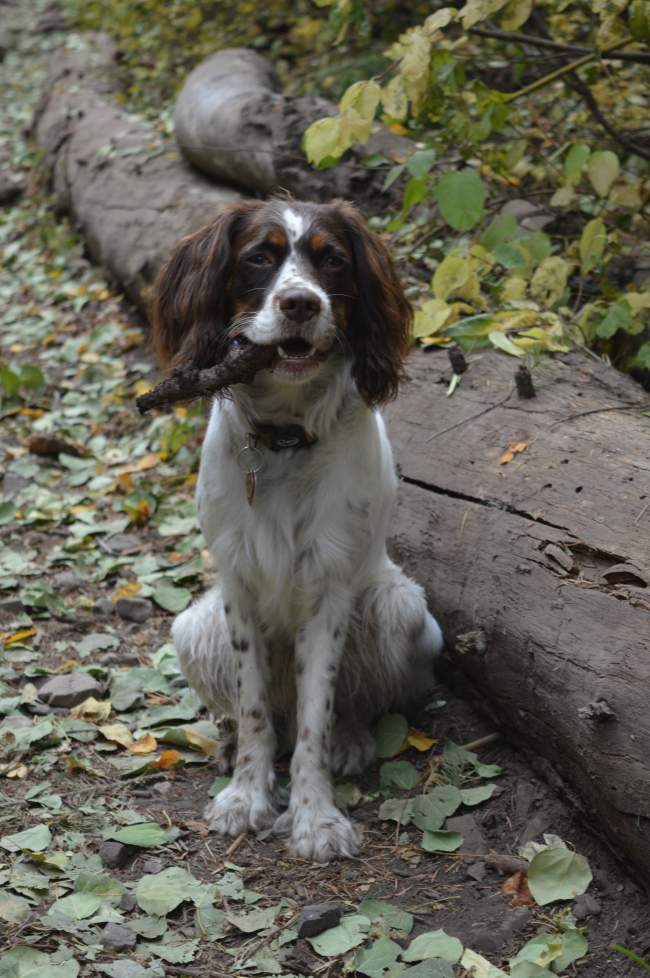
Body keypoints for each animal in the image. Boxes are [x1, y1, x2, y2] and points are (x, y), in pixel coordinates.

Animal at [154, 200, 442, 860]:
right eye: (259, 256)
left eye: (331, 260)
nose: (301, 304)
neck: (284, 437)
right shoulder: (235, 581)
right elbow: (255, 707)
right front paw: (245, 796)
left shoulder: (329, 587)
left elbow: (317, 714)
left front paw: (316, 818)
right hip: (192, 627)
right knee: (257, 711)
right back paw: (229, 743)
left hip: (401, 609)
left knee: (346, 705)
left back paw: (351, 740)